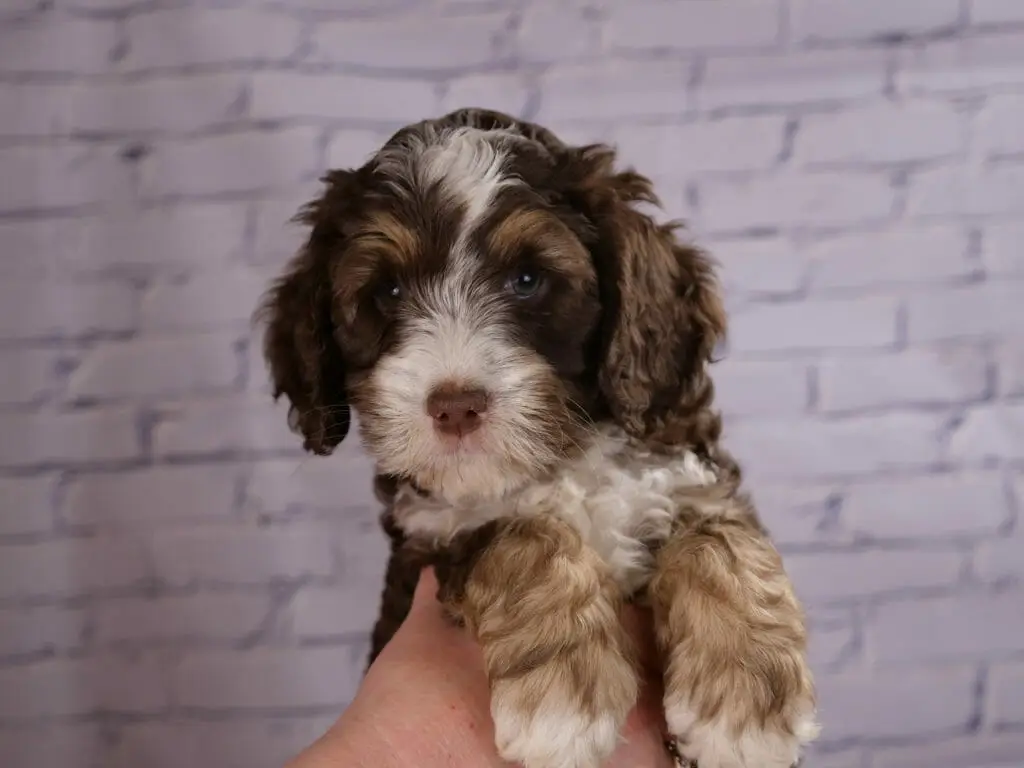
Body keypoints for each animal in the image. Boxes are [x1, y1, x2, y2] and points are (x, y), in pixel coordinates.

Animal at [260, 108, 819, 768]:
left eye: (527, 280)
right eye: (388, 292)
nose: (455, 406)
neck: (559, 460)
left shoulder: (685, 473)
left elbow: (720, 538)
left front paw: (745, 712)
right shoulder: (430, 536)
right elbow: (523, 534)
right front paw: (562, 706)